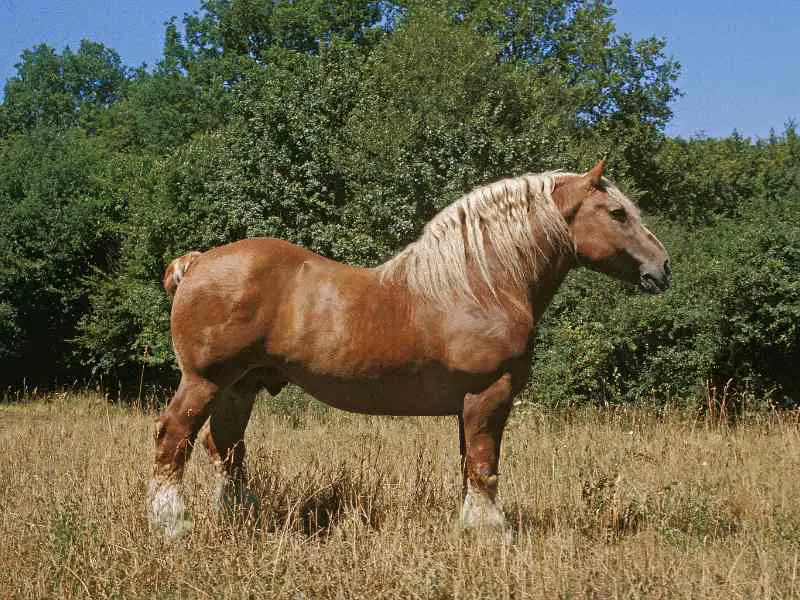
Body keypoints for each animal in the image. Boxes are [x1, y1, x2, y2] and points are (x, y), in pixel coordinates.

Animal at [148, 159, 668, 536]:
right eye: (618, 213)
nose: (662, 268)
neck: (482, 284)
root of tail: (197, 264)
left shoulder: (467, 403)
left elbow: (469, 464)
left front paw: (470, 526)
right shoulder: (490, 393)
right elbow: (485, 465)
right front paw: (490, 532)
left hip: (240, 387)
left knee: (225, 447)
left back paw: (241, 519)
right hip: (205, 381)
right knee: (175, 438)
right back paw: (172, 523)